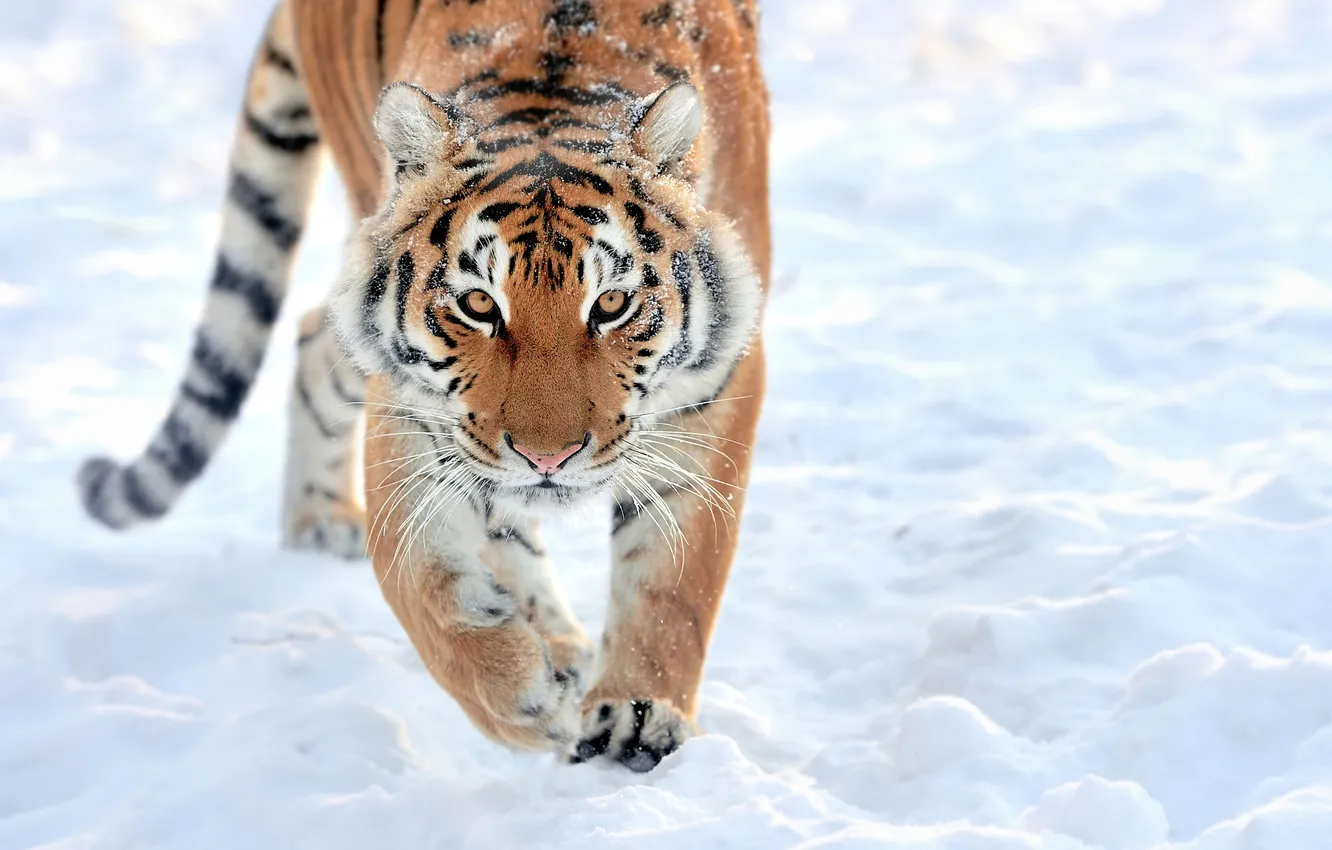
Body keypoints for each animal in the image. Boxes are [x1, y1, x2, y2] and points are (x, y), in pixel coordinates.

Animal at [77, 0, 769, 772]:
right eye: (479, 305)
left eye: (611, 304)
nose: (549, 457)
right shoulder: (412, 409)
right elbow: (422, 585)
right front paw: (526, 701)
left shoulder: (719, 384)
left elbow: (673, 579)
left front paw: (636, 717)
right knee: (321, 337)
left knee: (315, 335)